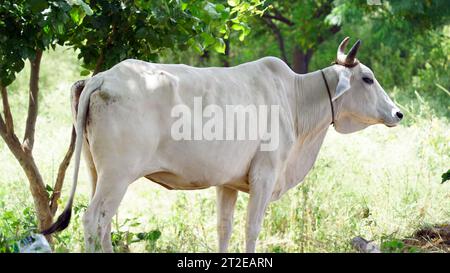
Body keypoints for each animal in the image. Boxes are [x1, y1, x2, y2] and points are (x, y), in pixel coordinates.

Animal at [42, 37, 402, 252]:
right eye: (367, 78)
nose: (398, 112)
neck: (295, 99)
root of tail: (101, 78)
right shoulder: (265, 175)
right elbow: (252, 227)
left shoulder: (227, 184)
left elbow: (223, 228)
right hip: (117, 175)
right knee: (94, 221)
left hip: (96, 171)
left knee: (103, 225)